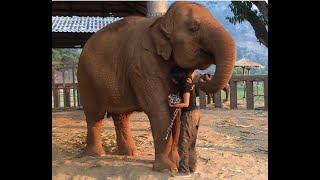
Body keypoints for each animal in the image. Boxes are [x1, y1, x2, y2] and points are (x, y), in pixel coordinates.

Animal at [78, 1, 235, 173]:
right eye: (194, 28)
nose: (200, 79)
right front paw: (167, 168)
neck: (162, 21)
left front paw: (175, 163)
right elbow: (159, 109)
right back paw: (96, 155)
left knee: (121, 116)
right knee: (95, 116)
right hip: (86, 78)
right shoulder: (143, 64)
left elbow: (176, 113)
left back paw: (130, 153)